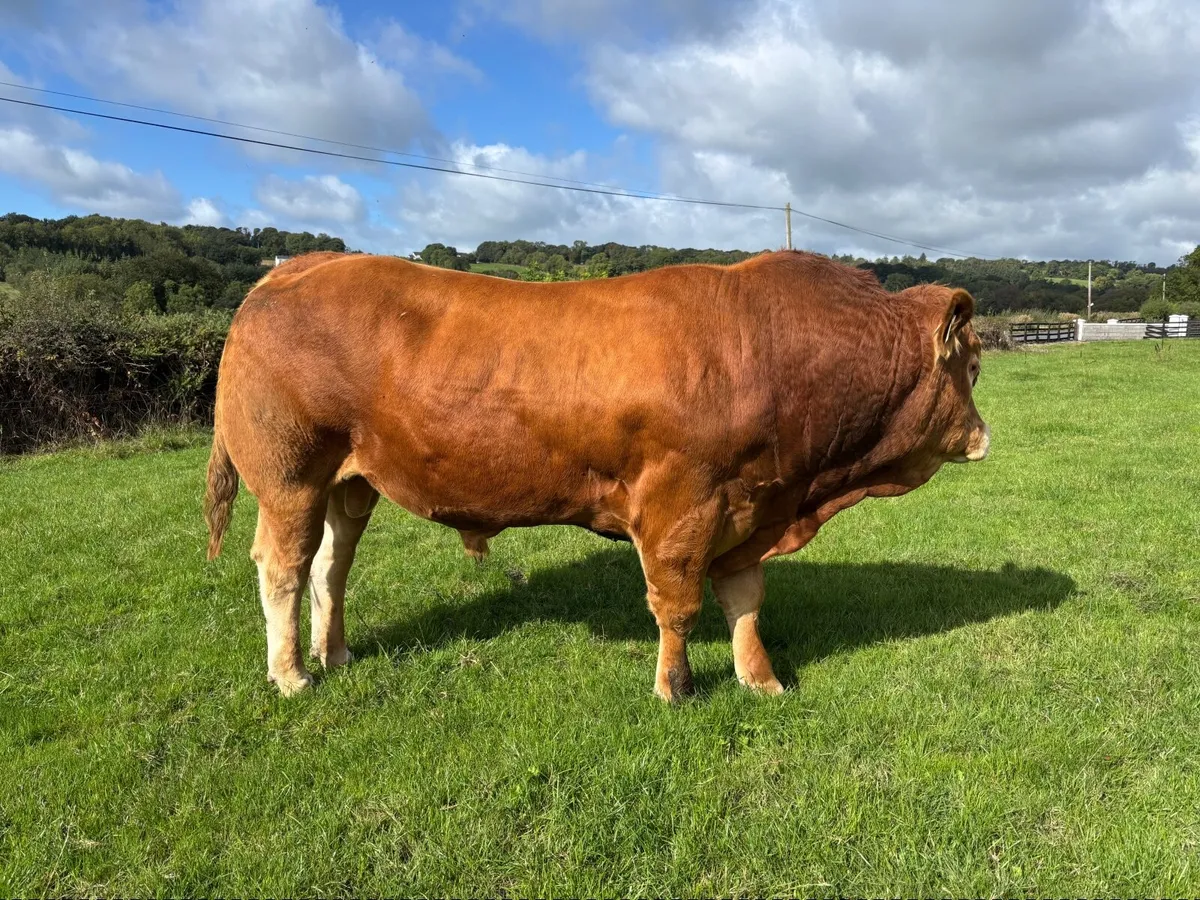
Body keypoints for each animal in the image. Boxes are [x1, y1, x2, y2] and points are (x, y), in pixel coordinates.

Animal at [204, 250, 989, 701]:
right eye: (973, 365)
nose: (985, 436)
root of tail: (292, 267)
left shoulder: (749, 507)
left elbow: (745, 601)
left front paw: (761, 680)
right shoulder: (682, 503)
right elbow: (678, 604)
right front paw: (675, 688)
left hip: (351, 480)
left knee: (329, 567)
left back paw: (334, 654)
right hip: (291, 474)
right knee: (282, 567)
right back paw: (292, 675)